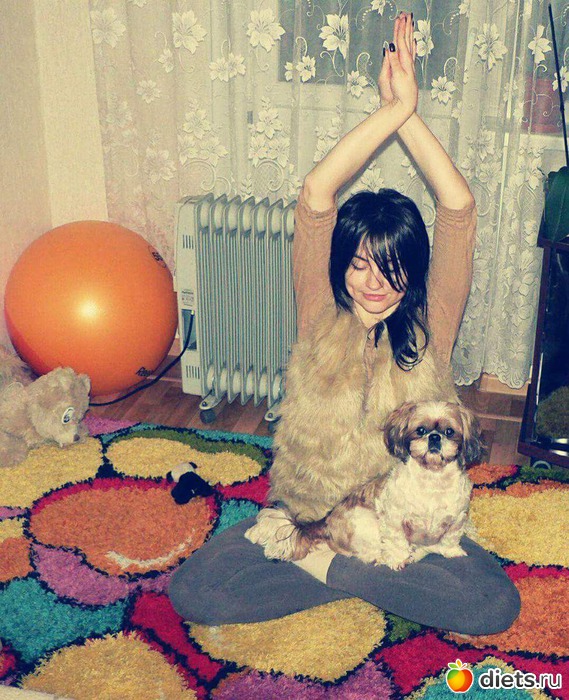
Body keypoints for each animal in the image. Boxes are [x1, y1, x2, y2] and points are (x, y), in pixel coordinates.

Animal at [245, 400, 482, 570]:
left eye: (450, 432)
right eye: (421, 430)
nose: (434, 438)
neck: (433, 480)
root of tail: (326, 522)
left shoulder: (457, 518)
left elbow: (450, 538)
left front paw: (451, 552)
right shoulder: (394, 519)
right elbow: (396, 541)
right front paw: (398, 560)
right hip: (365, 521)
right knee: (367, 553)